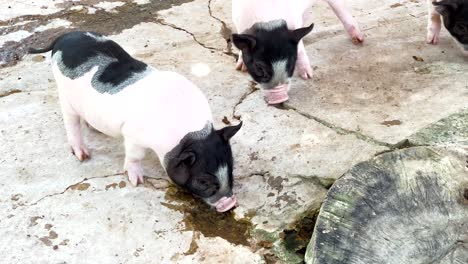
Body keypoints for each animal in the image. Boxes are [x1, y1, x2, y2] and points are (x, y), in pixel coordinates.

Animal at [28, 31, 243, 212]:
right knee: (71, 124)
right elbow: (134, 156)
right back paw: (83, 156)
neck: (187, 135)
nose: (230, 203)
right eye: (202, 181)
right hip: (65, 98)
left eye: (231, 169)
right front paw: (137, 182)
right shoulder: (132, 134)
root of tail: (62, 38)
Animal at [232, 0, 364, 105]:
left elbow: (300, 48)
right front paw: (240, 68)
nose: (280, 98)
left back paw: (359, 39)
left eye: (291, 63)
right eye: (259, 68)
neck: (268, 18)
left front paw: (308, 76)